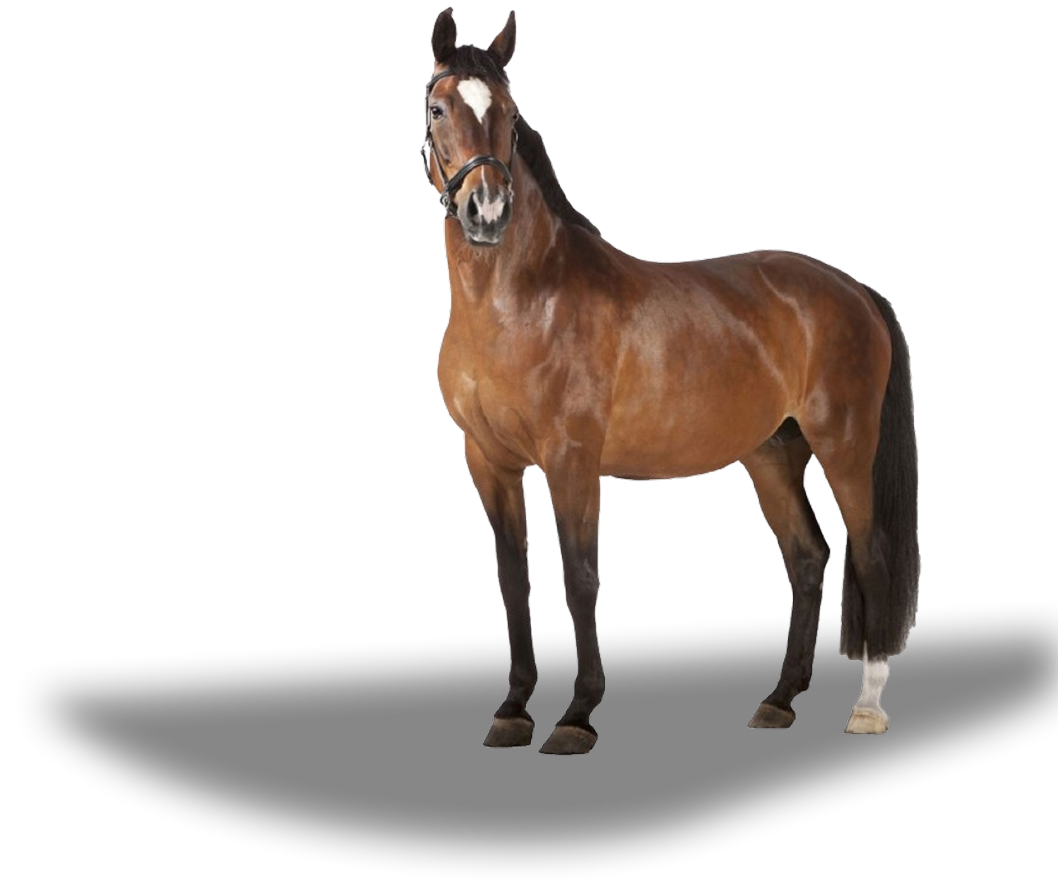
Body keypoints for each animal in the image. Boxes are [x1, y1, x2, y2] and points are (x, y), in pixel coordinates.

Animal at [424, 8, 919, 753]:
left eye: (508, 112)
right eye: (438, 106)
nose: (487, 211)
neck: (522, 303)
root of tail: (854, 290)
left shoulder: (572, 461)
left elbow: (580, 578)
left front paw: (576, 716)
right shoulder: (489, 462)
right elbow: (514, 581)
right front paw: (512, 711)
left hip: (846, 449)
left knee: (871, 558)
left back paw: (865, 708)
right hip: (772, 453)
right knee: (808, 558)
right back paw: (777, 702)